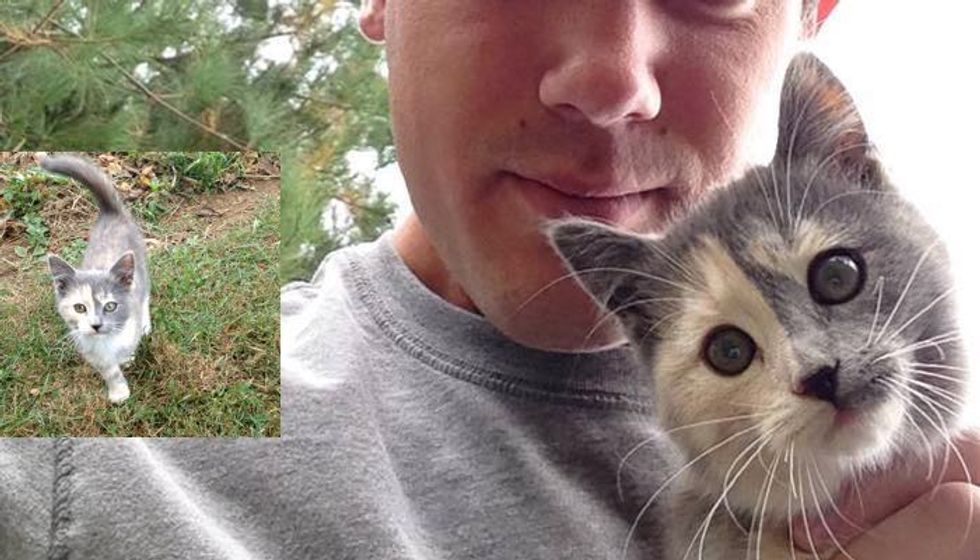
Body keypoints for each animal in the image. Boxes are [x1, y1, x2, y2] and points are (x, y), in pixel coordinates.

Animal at [43, 155, 149, 404]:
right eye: (79, 308)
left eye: (110, 306)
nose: (96, 324)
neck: (105, 341)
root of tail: (110, 212)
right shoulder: (87, 347)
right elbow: (109, 370)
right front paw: (118, 391)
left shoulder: (128, 327)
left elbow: (126, 348)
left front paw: (126, 359)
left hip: (141, 265)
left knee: (146, 297)